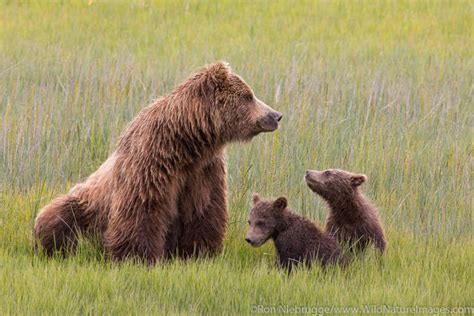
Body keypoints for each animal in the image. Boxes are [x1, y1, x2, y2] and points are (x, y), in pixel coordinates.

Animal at [36, 61, 286, 264]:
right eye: (248, 96)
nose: (276, 115)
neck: (186, 143)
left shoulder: (203, 171)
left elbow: (204, 211)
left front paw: (198, 253)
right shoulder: (151, 163)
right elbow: (143, 210)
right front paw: (138, 257)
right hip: (88, 203)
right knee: (58, 215)